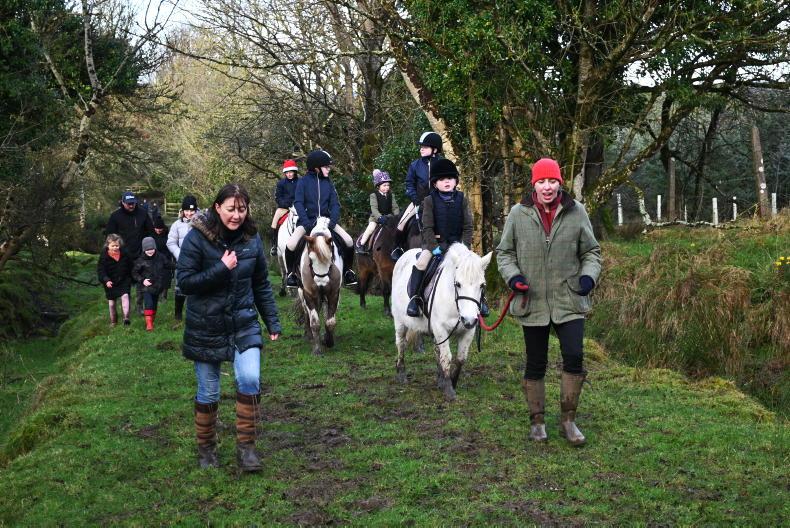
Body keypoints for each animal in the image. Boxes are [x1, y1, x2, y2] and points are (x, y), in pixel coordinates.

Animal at [297, 217, 342, 355]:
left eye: (330, 258)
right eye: (310, 259)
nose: (321, 282)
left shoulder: (333, 293)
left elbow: (330, 321)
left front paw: (329, 341)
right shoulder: (309, 294)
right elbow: (315, 322)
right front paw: (316, 349)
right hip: (302, 294)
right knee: (307, 313)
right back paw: (309, 336)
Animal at [391, 243, 492, 401]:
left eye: (482, 285)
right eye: (458, 284)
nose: (468, 319)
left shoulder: (468, 330)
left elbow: (460, 358)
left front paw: (451, 382)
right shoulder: (441, 328)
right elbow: (446, 357)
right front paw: (449, 390)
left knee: (435, 350)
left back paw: (439, 379)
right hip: (400, 321)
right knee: (401, 344)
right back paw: (401, 373)